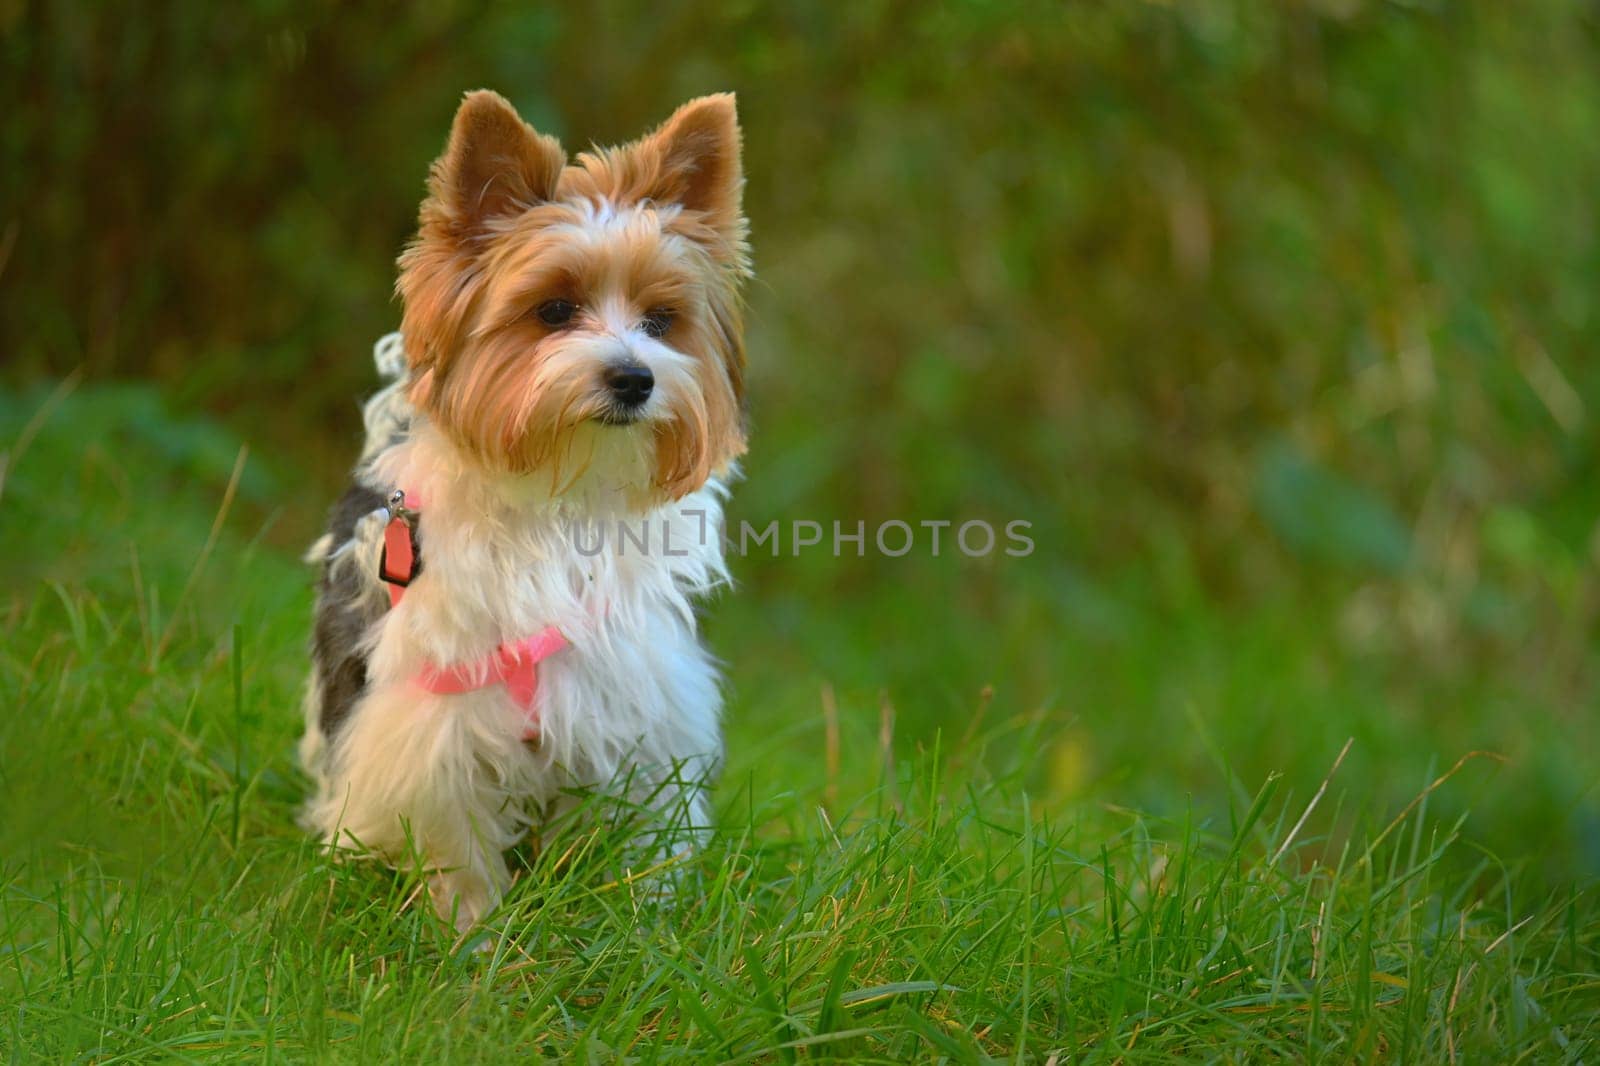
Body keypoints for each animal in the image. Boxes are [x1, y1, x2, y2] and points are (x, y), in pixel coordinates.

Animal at [299, 89, 748, 928]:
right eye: (554, 310)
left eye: (661, 321)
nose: (635, 377)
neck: (557, 494)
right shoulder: (435, 722)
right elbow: (456, 844)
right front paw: (472, 936)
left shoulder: (626, 710)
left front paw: (625, 920)